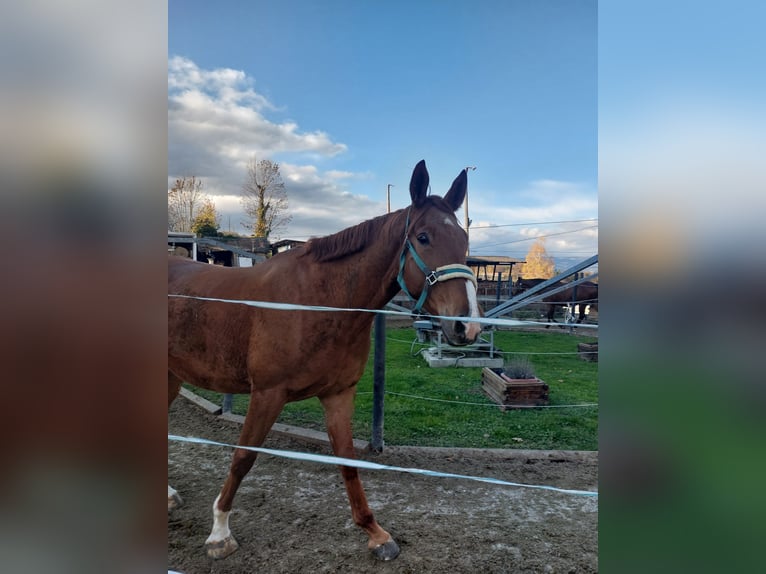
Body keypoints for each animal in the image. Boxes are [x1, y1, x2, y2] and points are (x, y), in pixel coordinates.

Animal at [168, 160, 482, 562]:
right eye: (424, 237)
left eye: (463, 240)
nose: (466, 326)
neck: (318, 302)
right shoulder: (267, 394)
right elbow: (242, 458)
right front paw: (220, 533)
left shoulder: (338, 394)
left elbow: (348, 462)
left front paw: (376, 533)